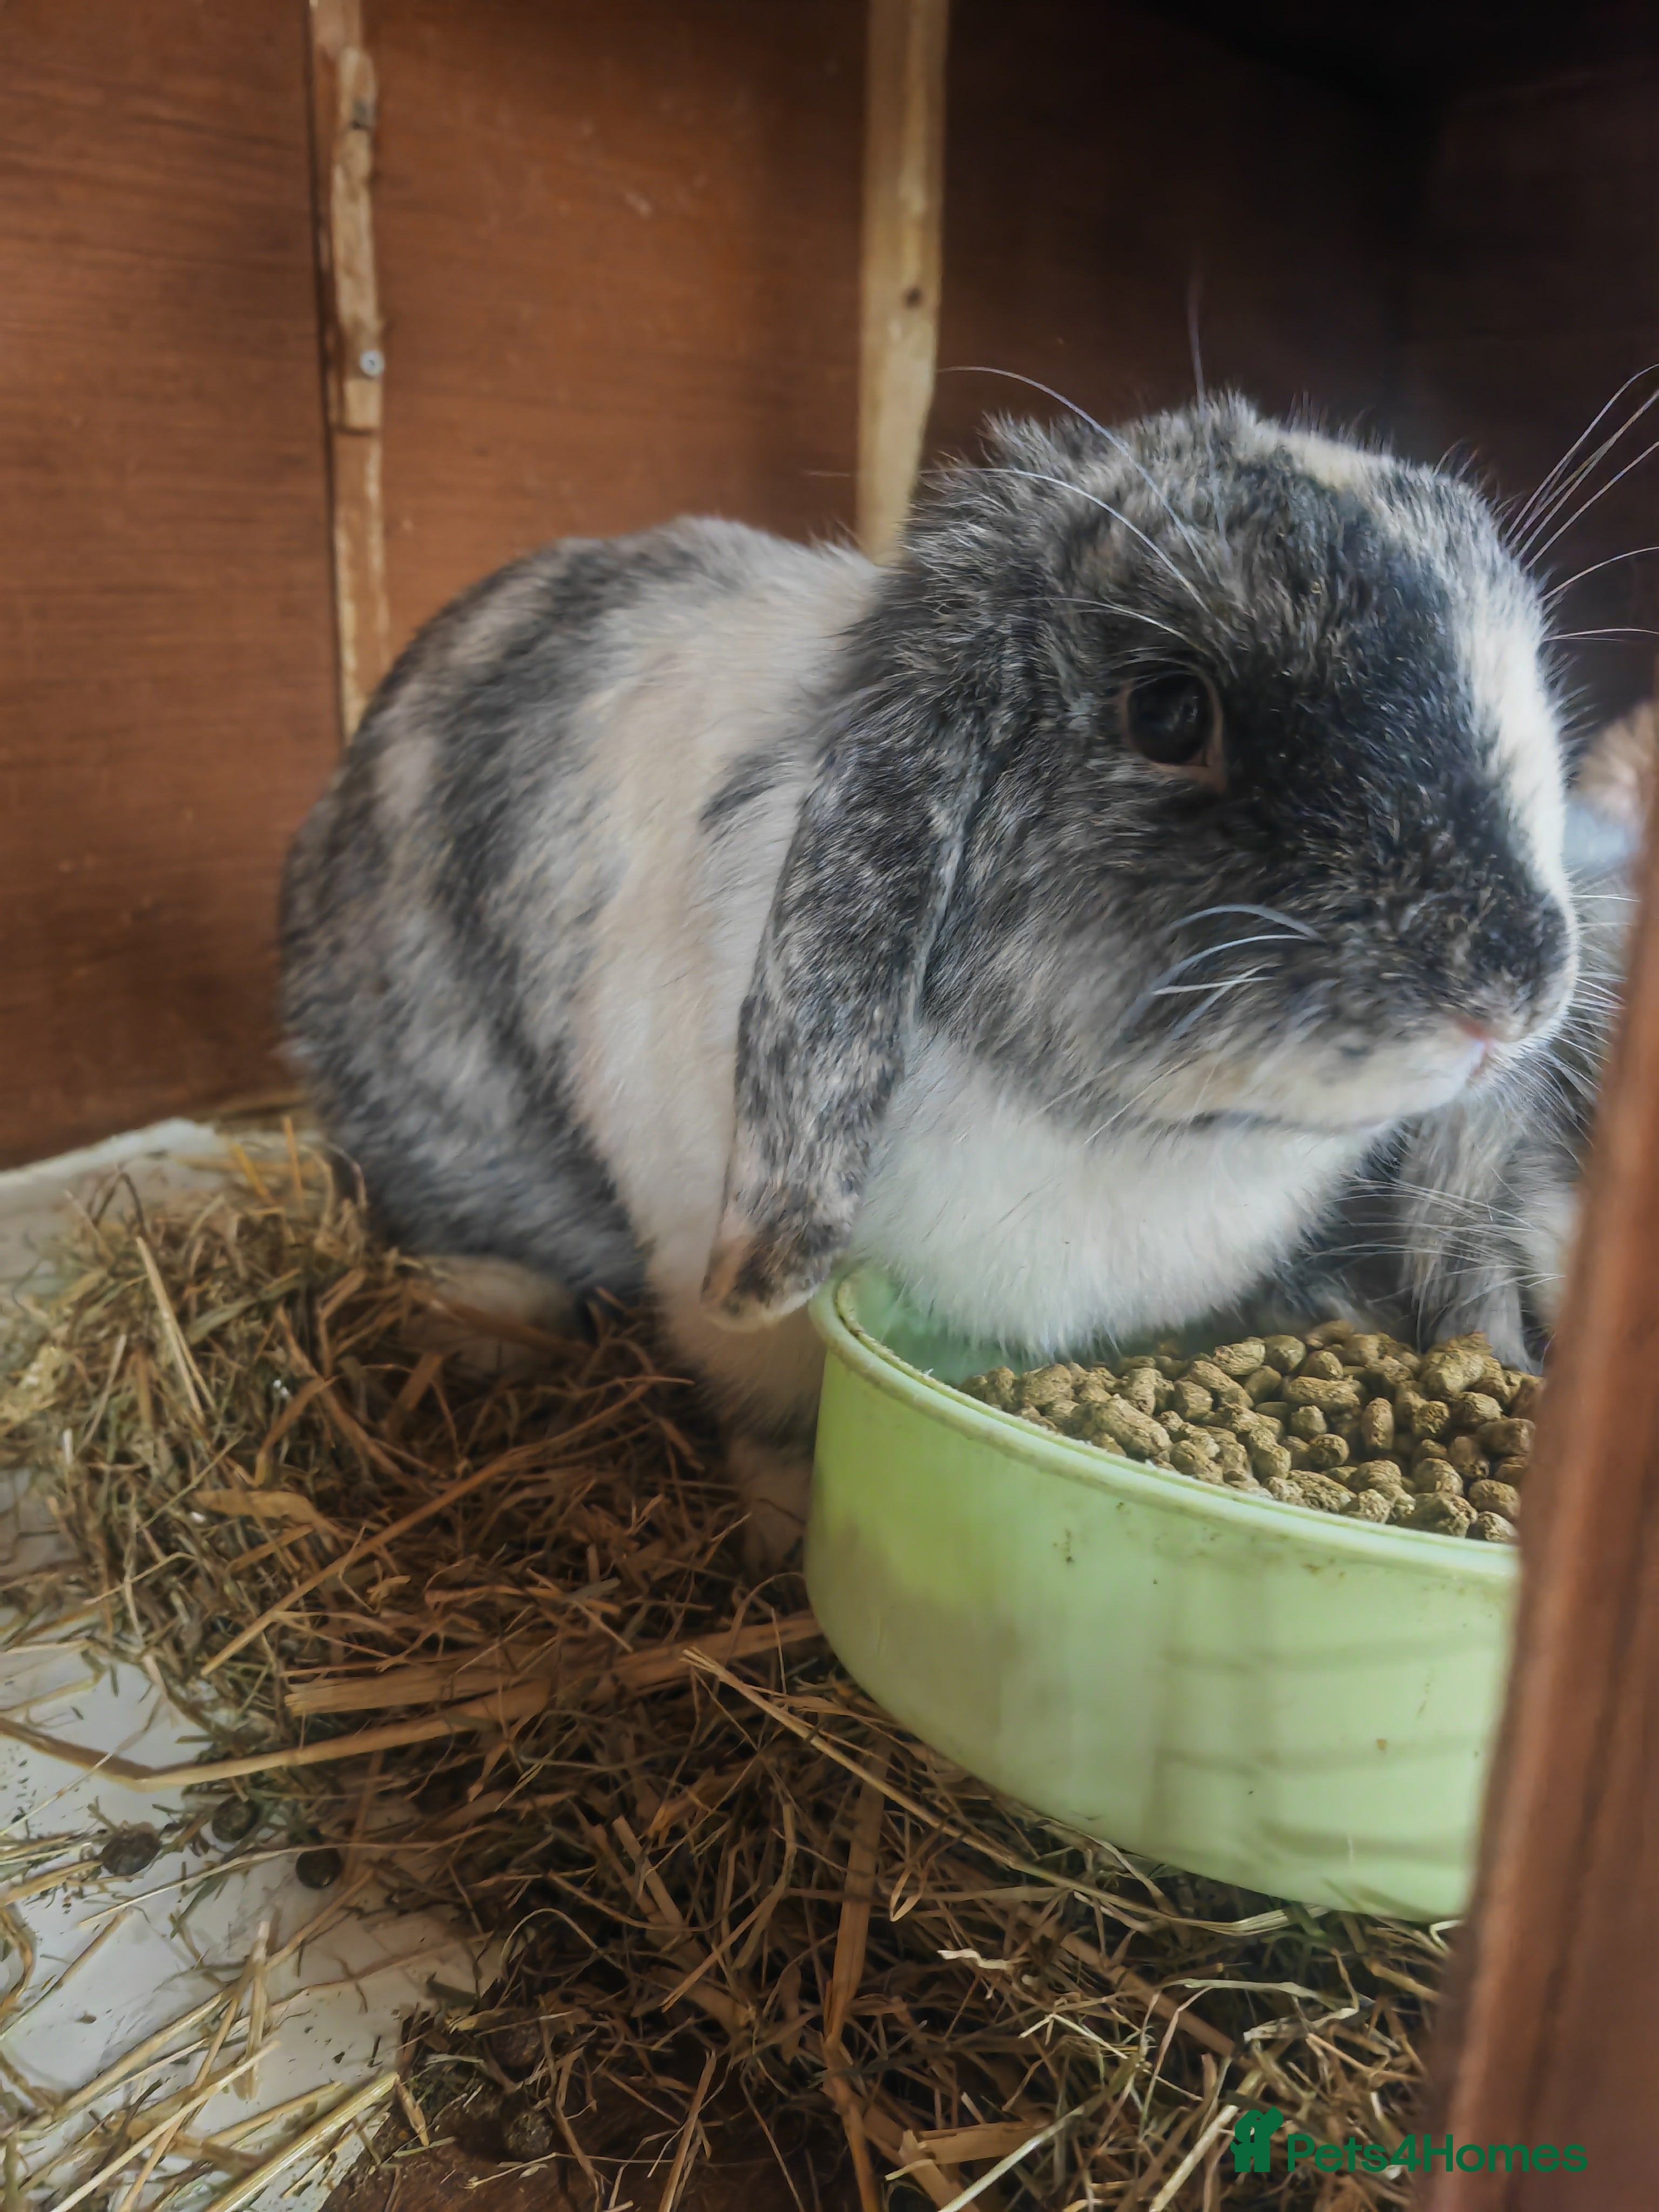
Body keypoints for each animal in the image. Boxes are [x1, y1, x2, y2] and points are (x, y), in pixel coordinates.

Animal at [280, 397, 1580, 1562]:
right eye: (1167, 711)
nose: (1512, 989)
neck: (1121, 1136)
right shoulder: (724, 1276)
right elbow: (770, 1409)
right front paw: (789, 1531)